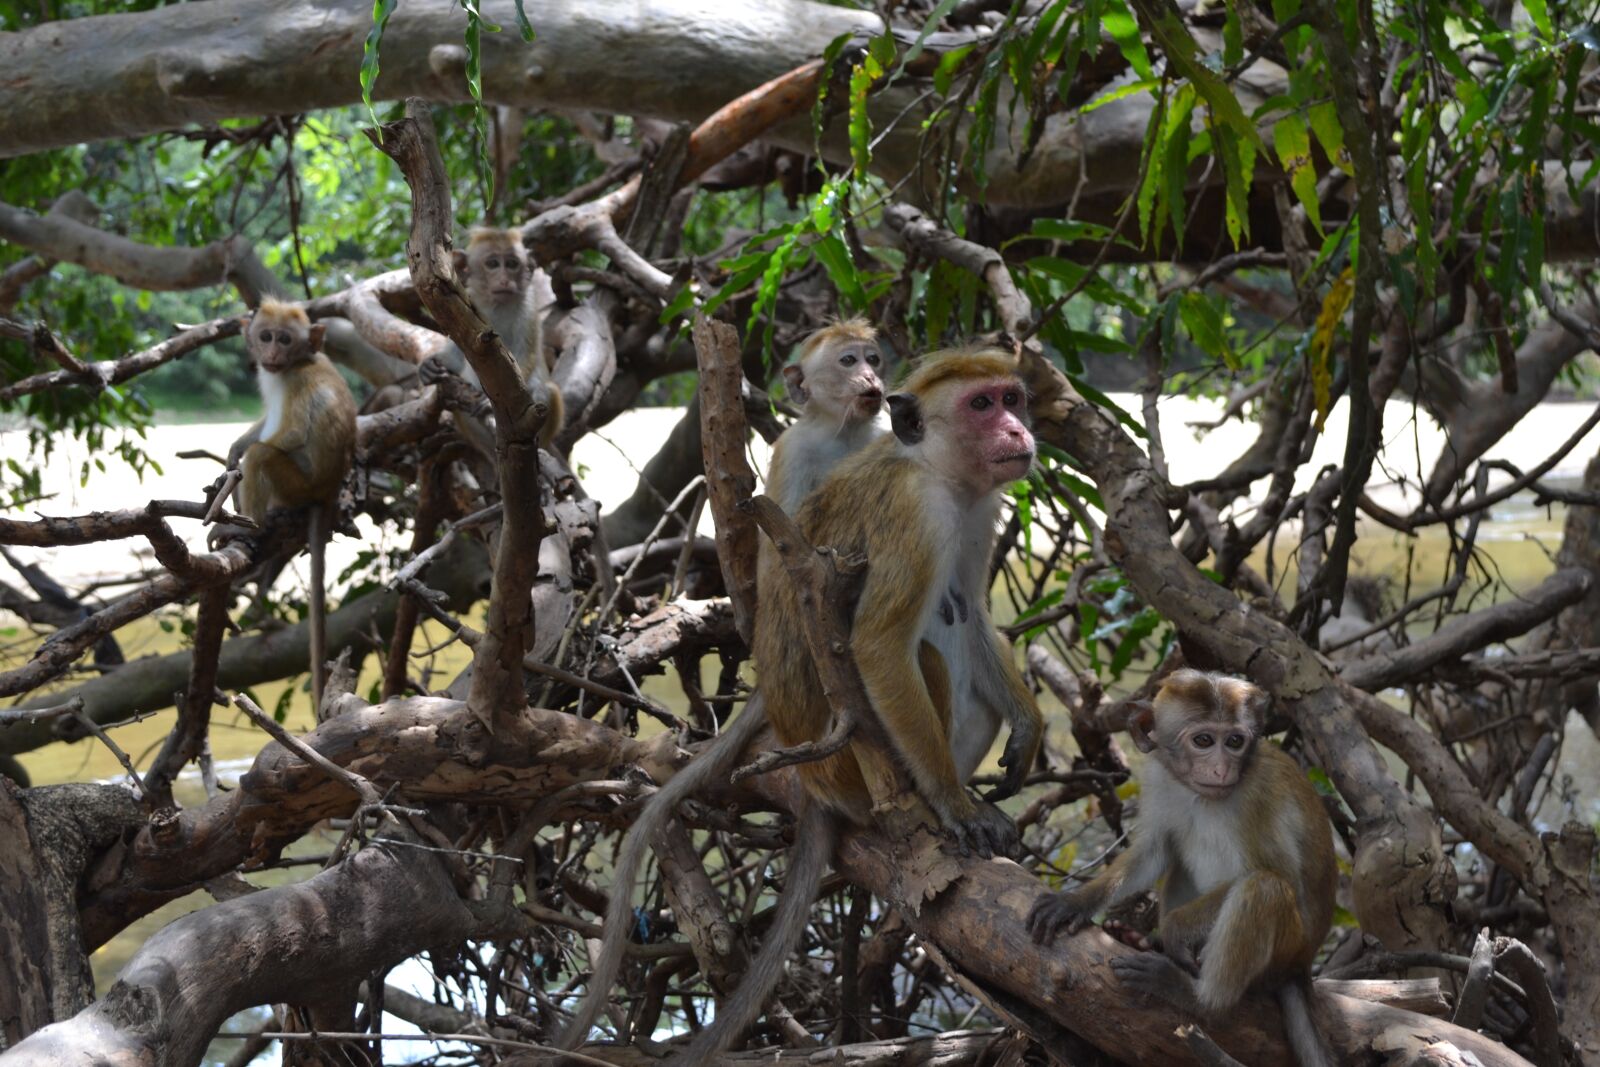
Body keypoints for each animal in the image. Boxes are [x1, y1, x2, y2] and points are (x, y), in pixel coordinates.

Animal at [226, 299, 357, 715]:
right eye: (266, 336)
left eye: (285, 340)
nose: (271, 354)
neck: (294, 364)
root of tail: (326, 492)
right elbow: (262, 427)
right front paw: (232, 449)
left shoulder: (295, 381)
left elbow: (291, 434)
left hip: (298, 486)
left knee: (262, 457)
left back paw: (248, 529)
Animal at [423, 226, 563, 453]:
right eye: (493, 264)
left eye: (512, 264)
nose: (504, 279)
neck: (497, 304)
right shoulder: (466, 303)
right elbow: (458, 351)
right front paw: (432, 363)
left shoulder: (528, 309)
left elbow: (525, 356)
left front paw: (491, 403)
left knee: (545, 389)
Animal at [559, 348, 1045, 1063]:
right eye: (982, 405)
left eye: (1013, 397)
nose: (1016, 430)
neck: (938, 472)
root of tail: (815, 783)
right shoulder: (917, 516)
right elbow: (877, 647)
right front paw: (954, 806)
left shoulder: (981, 511)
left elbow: (978, 613)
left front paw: (1028, 726)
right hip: (849, 771)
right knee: (925, 653)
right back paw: (926, 801)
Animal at [1027, 669, 1337, 1067]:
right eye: (1203, 740)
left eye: (1235, 741)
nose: (1221, 768)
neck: (1199, 793)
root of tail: (1302, 966)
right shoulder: (1161, 779)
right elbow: (1154, 851)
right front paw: (1076, 902)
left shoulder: (1258, 796)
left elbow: (1283, 876)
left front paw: (1173, 929)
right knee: (1181, 865)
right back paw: (1139, 939)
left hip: (1287, 949)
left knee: (1263, 888)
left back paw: (1198, 997)